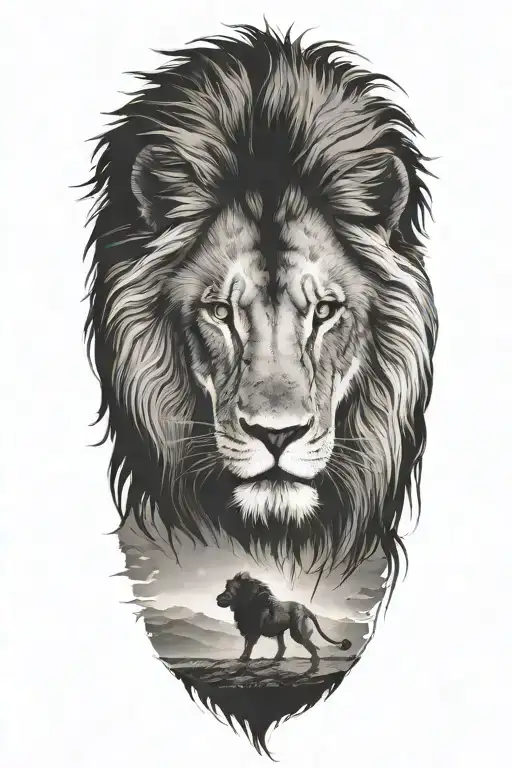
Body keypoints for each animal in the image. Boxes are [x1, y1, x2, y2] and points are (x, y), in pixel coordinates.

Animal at [216, 571, 353, 666]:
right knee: (283, 647)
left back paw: (314, 662)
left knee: (311, 646)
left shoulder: (254, 632)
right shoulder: (247, 631)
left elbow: (249, 646)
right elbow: (246, 646)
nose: (218, 597)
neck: (245, 604)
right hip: (280, 632)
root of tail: (304, 608)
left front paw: (243, 658)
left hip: (297, 632)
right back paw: (277, 658)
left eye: (229, 590)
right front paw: (244, 658)